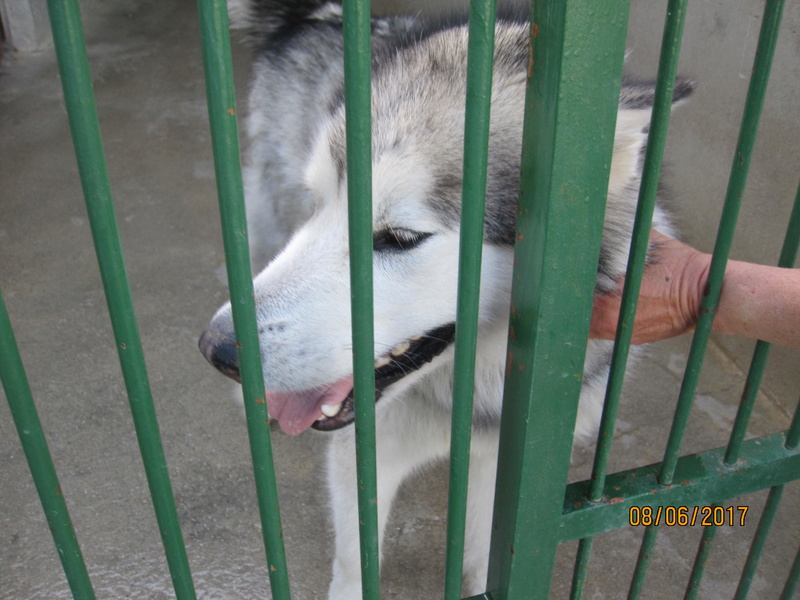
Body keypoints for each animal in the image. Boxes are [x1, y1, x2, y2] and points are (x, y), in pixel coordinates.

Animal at [197, 2, 692, 596]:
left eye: (401, 237)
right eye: (320, 205)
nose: (217, 349)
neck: (469, 399)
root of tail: (318, 17)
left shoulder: (503, 480)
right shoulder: (364, 460)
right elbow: (355, 566)